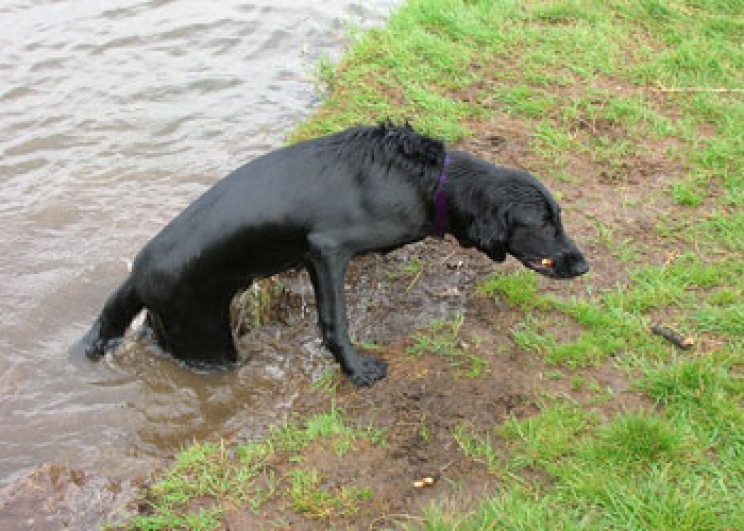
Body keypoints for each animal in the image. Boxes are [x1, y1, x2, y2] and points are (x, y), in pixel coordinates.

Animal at [75, 127, 588, 388]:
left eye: (559, 217)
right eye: (543, 224)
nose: (583, 264)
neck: (428, 180)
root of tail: (139, 273)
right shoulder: (326, 249)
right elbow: (334, 321)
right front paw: (356, 370)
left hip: (170, 328)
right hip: (207, 341)